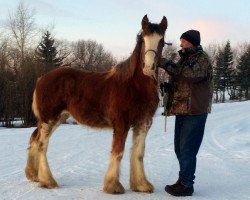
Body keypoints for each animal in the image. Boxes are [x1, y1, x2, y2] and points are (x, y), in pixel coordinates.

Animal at [25, 15, 168, 194]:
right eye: (143, 39)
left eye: (161, 41)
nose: (149, 68)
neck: (134, 86)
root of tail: (41, 79)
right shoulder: (121, 124)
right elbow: (118, 152)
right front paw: (113, 186)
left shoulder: (143, 123)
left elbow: (138, 153)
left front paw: (141, 185)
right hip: (49, 119)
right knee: (42, 145)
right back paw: (48, 181)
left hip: (57, 119)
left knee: (35, 140)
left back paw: (34, 175)